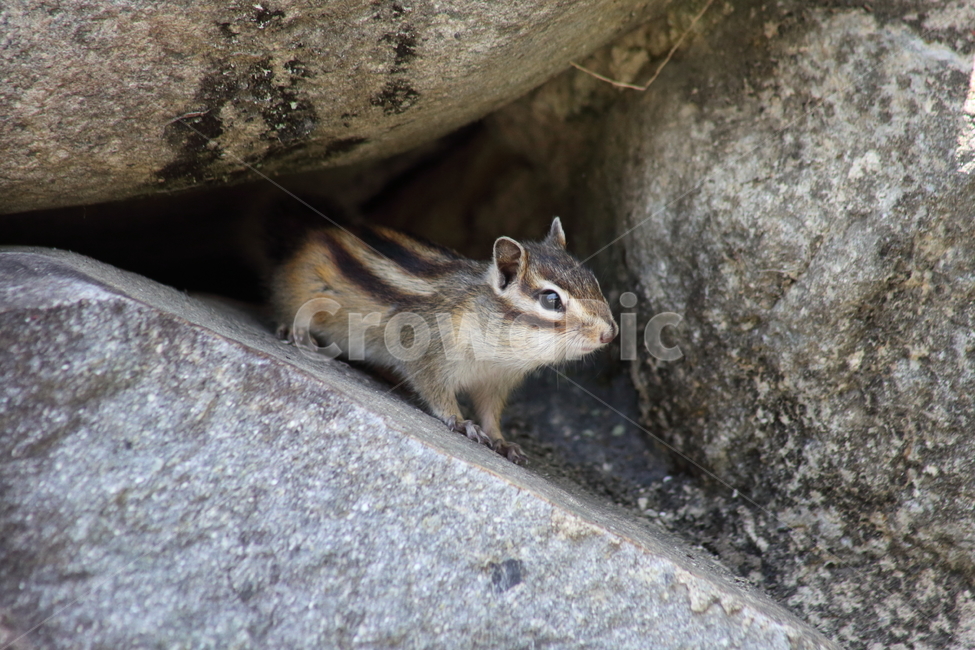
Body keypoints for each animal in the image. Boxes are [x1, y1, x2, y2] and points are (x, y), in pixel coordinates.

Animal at [269, 214, 618, 463]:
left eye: (593, 281)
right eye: (550, 300)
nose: (609, 333)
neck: (502, 351)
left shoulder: (496, 381)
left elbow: (490, 413)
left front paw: (501, 440)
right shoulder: (428, 352)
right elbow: (437, 393)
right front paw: (461, 422)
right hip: (302, 288)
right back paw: (297, 333)